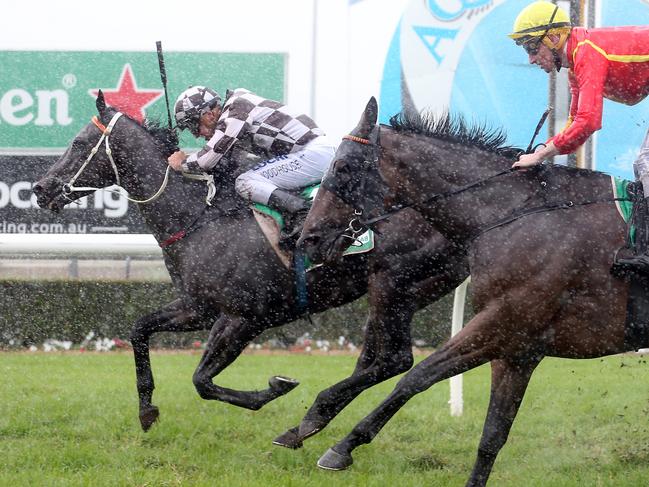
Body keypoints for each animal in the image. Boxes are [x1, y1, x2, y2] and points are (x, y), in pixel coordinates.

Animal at [33, 91, 468, 438]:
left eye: (79, 142)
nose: (40, 188)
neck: (201, 216)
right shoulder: (198, 307)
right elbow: (140, 329)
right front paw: (146, 410)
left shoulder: (243, 318)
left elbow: (202, 380)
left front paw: (276, 387)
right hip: (412, 291)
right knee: (379, 358)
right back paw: (315, 423)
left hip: (392, 283)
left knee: (397, 358)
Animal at [298, 96, 636, 487]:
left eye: (342, 165)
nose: (307, 239)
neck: (516, 213)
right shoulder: (520, 347)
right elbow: (493, 435)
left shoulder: (502, 322)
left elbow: (417, 376)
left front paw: (340, 443)